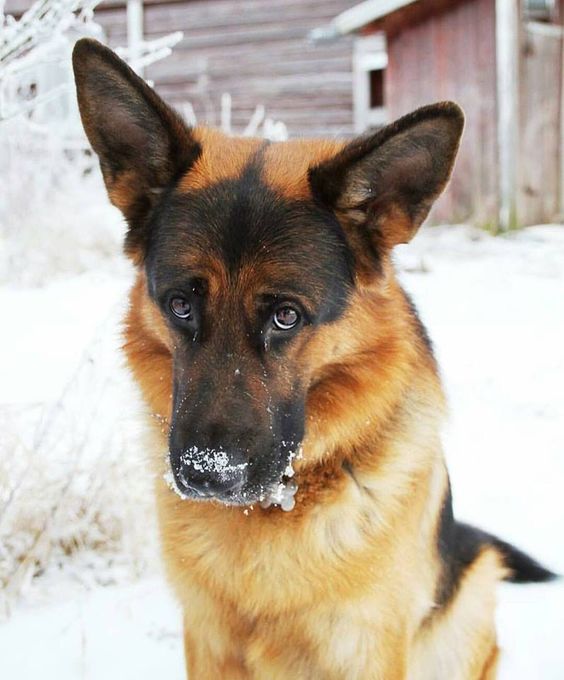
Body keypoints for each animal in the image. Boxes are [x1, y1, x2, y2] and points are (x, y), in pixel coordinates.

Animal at [72, 39, 552, 676]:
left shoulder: (367, 649)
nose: (207, 474)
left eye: (286, 316)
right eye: (179, 305)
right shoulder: (206, 641)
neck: (273, 510)